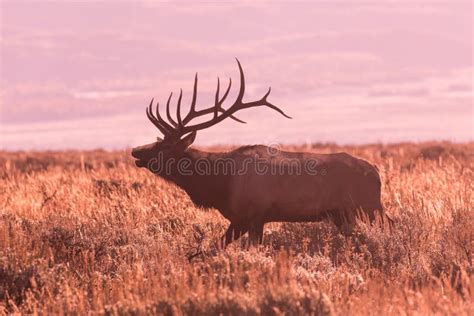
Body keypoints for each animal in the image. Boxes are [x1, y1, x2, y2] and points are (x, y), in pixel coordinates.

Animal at [131, 58, 386, 253]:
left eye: (165, 147)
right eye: (157, 141)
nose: (136, 151)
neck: (219, 183)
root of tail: (376, 173)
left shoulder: (250, 216)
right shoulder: (249, 219)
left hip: (368, 208)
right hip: (345, 215)